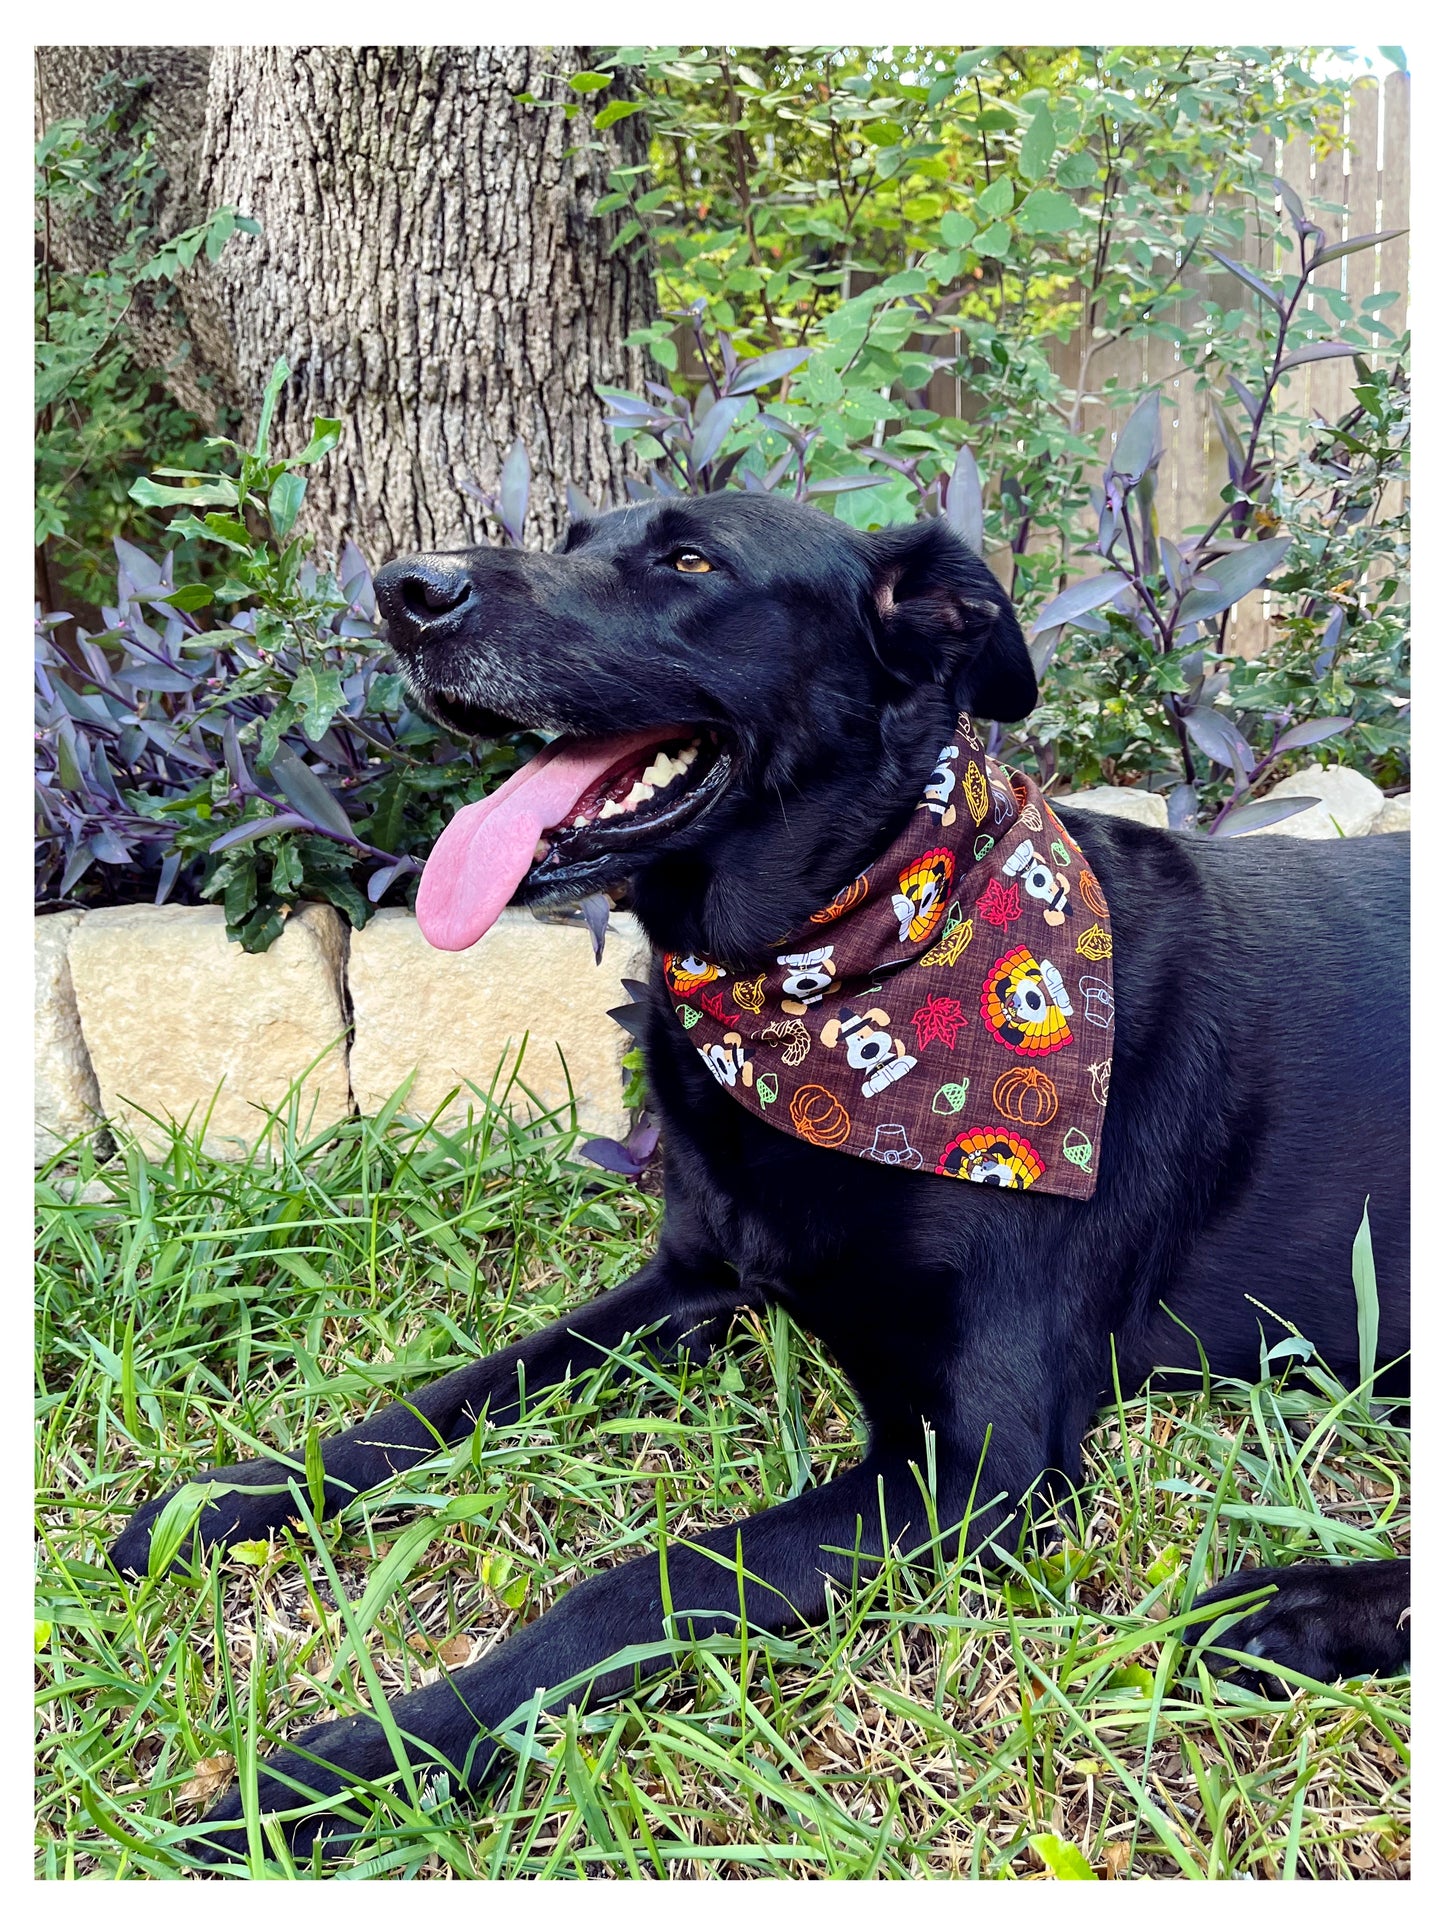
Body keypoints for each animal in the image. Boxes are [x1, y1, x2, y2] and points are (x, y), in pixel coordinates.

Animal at [110, 489, 1418, 1856]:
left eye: (691, 561)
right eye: (573, 536)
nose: (403, 591)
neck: (841, 971)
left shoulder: (974, 1469)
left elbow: (642, 1581)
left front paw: (346, 1763)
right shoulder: (688, 1277)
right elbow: (443, 1396)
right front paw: (229, 1498)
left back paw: (1291, 1611)